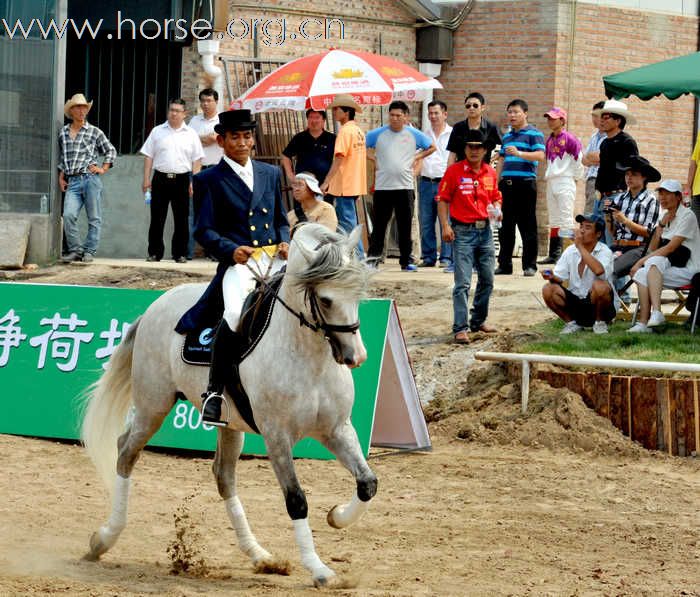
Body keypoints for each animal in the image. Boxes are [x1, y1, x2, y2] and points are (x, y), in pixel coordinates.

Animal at [80, 224, 378, 588]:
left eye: (358, 295)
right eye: (325, 299)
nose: (355, 357)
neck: (309, 357)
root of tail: (157, 303)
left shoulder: (337, 429)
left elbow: (367, 483)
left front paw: (336, 516)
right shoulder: (277, 437)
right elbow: (296, 501)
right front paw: (319, 569)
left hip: (230, 424)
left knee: (223, 476)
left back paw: (261, 556)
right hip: (153, 405)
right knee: (126, 452)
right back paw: (104, 538)